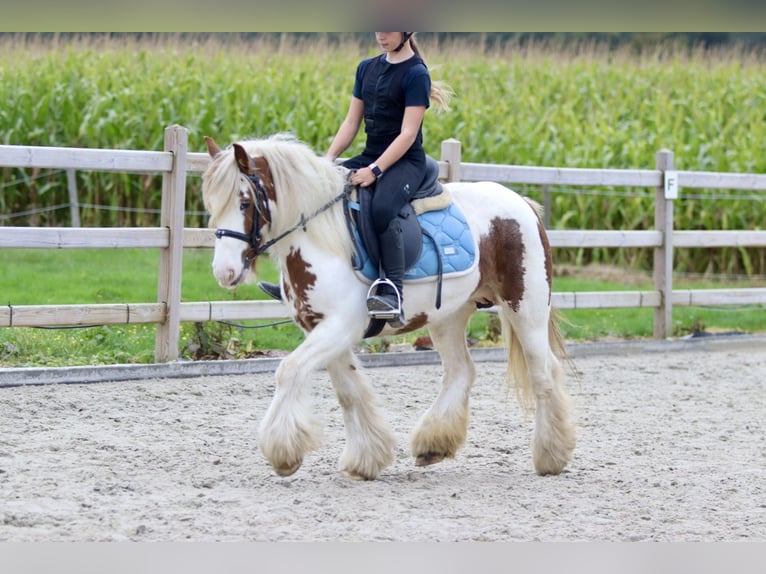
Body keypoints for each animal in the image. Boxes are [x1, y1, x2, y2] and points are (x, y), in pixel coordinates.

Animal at [202, 134, 576, 482]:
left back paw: (550, 456)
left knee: (544, 372)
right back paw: (433, 445)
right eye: (212, 204)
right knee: (461, 372)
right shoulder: (321, 328)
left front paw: (283, 454)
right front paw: (366, 458)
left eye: (245, 201)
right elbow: (349, 392)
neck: (323, 241)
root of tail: (520, 202)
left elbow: (289, 370)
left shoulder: (340, 326)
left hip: (525, 307)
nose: (224, 272)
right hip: (449, 316)